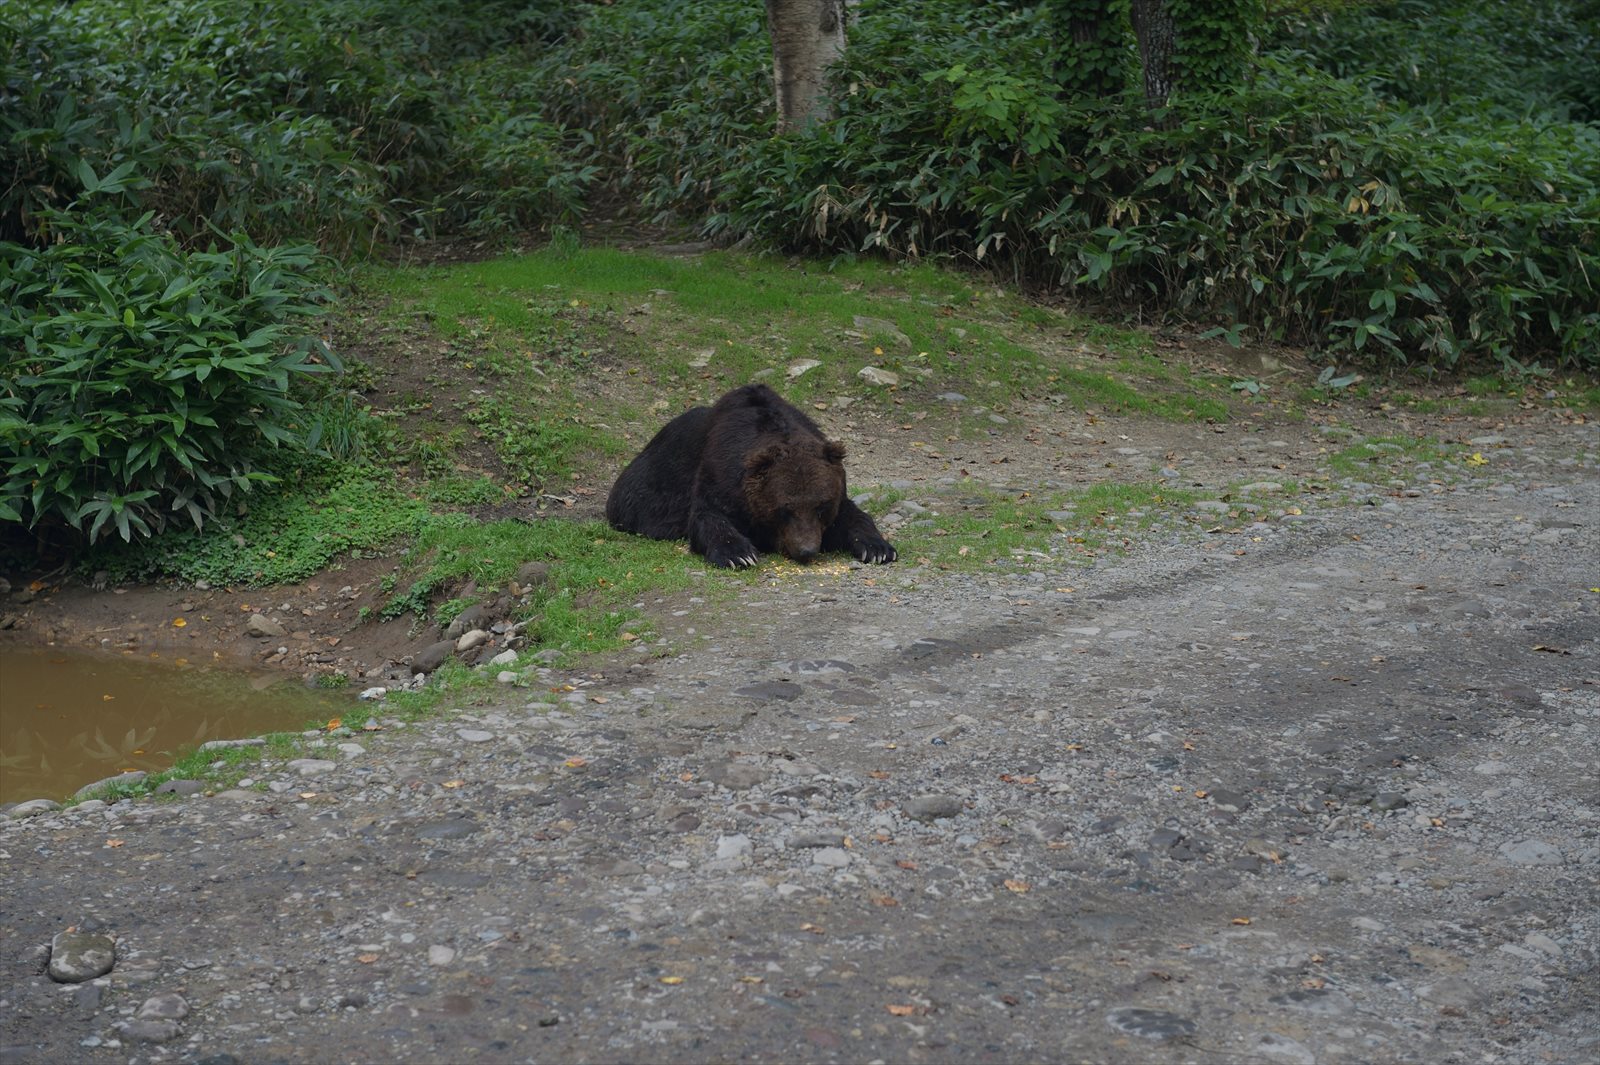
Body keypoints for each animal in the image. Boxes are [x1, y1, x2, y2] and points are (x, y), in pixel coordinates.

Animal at [601, 378, 896, 569]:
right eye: (785, 509)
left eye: (820, 506)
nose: (807, 550)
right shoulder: (720, 475)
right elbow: (708, 518)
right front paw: (739, 555)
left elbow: (852, 515)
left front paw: (878, 548)